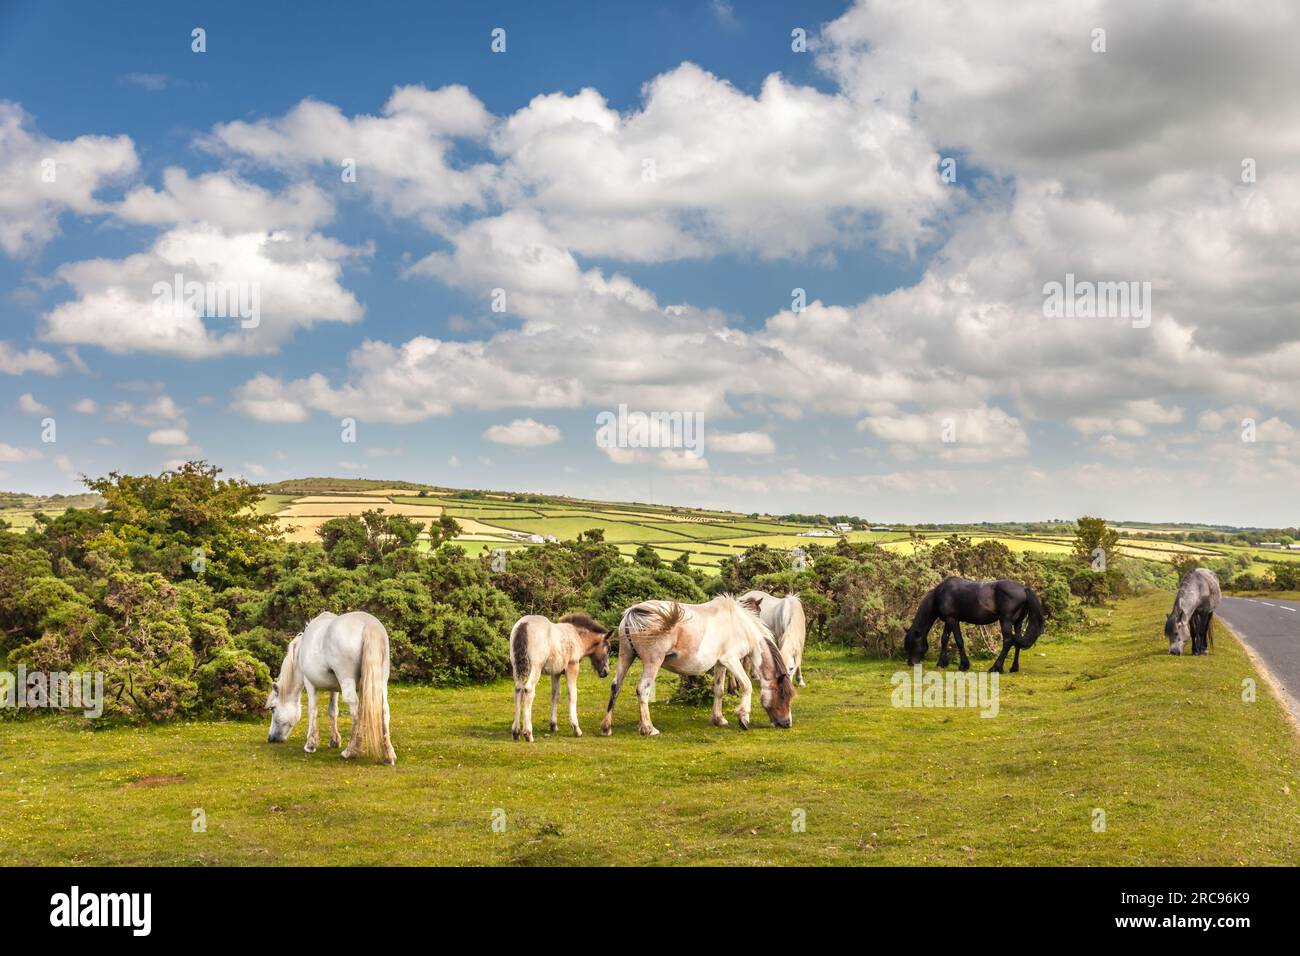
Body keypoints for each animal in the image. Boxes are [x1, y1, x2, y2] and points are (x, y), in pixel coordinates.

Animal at [258, 613, 390, 770]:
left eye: (272, 709)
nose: (271, 738)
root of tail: (368, 624)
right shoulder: (335, 689)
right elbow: (333, 711)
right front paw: (334, 741)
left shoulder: (309, 684)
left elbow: (312, 711)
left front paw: (310, 744)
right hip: (381, 684)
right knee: (384, 711)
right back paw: (388, 756)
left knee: (357, 713)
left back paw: (350, 752)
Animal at [598, 598, 790, 738]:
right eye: (783, 695)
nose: (787, 723)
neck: (738, 625)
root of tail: (635, 611)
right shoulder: (732, 661)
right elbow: (747, 686)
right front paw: (743, 717)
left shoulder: (721, 664)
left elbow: (719, 690)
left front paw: (718, 719)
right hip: (652, 662)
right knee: (643, 690)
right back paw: (648, 728)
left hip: (626, 656)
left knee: (616, 686)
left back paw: (606, 728)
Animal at [904, 574, 1045, 671]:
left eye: (912, 645)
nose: (910, 663)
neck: (941, 593)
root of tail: (1024, 589)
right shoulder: (949, 620)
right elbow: (944, 639)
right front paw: (941, 663)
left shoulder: (953, 620)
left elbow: (959, 641)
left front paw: (963, 665)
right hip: (1017, 623)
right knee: (1017, 643)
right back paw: (1014, 668)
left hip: (1005, 621)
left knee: (1008, 641)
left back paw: (996, 668)